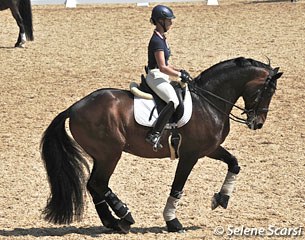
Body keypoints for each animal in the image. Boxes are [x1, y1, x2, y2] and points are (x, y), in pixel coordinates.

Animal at [39, 56, 282, 232]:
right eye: (268, 91)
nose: (258, 123)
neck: (209, 102)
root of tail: (74, 108)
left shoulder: (209, 149)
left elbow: (234, 163)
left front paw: (221, 198)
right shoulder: (190, 155)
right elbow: (177, 187)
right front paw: (172, 221)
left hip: (101, 155)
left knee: (93, 185)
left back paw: (114, 222)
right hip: (110, 154)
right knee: (98, 184)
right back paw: (125, 216)